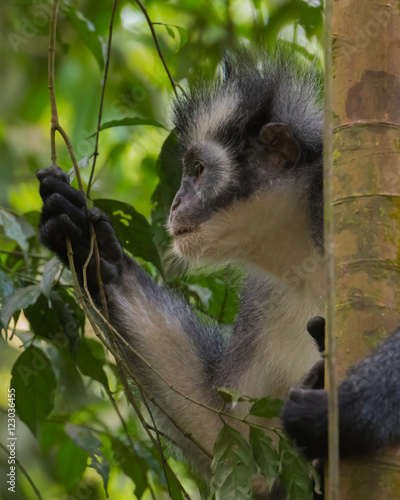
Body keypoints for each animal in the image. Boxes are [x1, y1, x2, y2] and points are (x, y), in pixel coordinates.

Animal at [36, 52, 400, 498]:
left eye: (198, 169)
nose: (176, 202)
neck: (305, 252)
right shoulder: (267, 299)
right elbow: (228, 433)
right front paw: (92, 248)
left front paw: (347, 412)